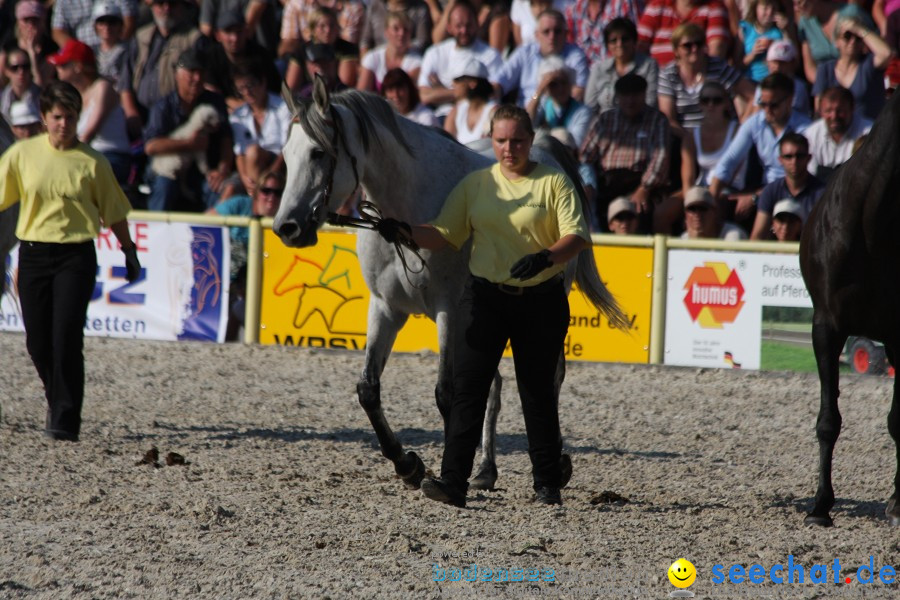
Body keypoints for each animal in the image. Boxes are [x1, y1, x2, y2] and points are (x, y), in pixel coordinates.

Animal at [274, 78, 624, 492]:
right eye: (285, 155)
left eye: (317, 153)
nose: (287, 227)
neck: (412, 205)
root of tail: (544, 149)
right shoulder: (386, 309)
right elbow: (369, 390)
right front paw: (407, 465)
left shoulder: (449, 311)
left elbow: (447, 394)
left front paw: (444, 473)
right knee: (494, 384)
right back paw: (486, 469)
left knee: (548, 378)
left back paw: (555, 465)